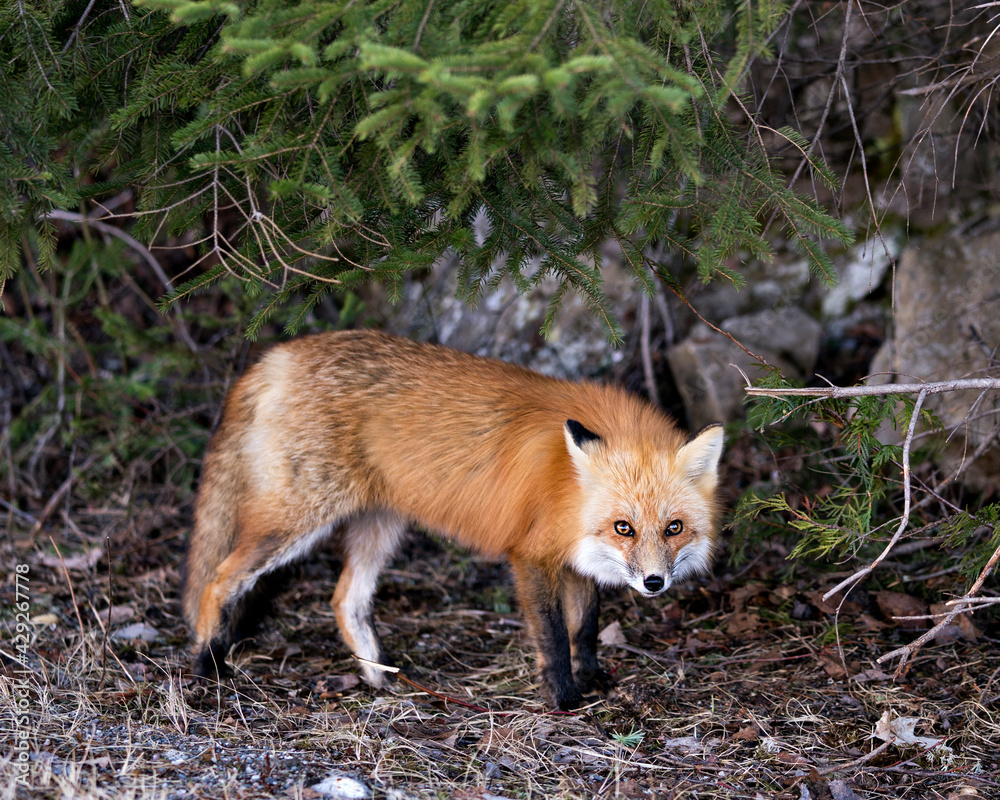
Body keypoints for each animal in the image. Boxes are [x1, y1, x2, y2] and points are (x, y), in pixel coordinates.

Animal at [182, 329, 724, 710]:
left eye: (673, 528)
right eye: (623, 527)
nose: (654, 583)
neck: (567, 486)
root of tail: (280, 355)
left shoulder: (575, 557)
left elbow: (585, 628)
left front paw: (591, 678)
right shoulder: (532, 557)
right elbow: (553, 637)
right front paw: (565, 699)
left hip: (381, 527)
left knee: (344, 600)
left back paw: (378, 678)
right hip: (297, 521)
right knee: (217, 579)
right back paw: (208, 664)